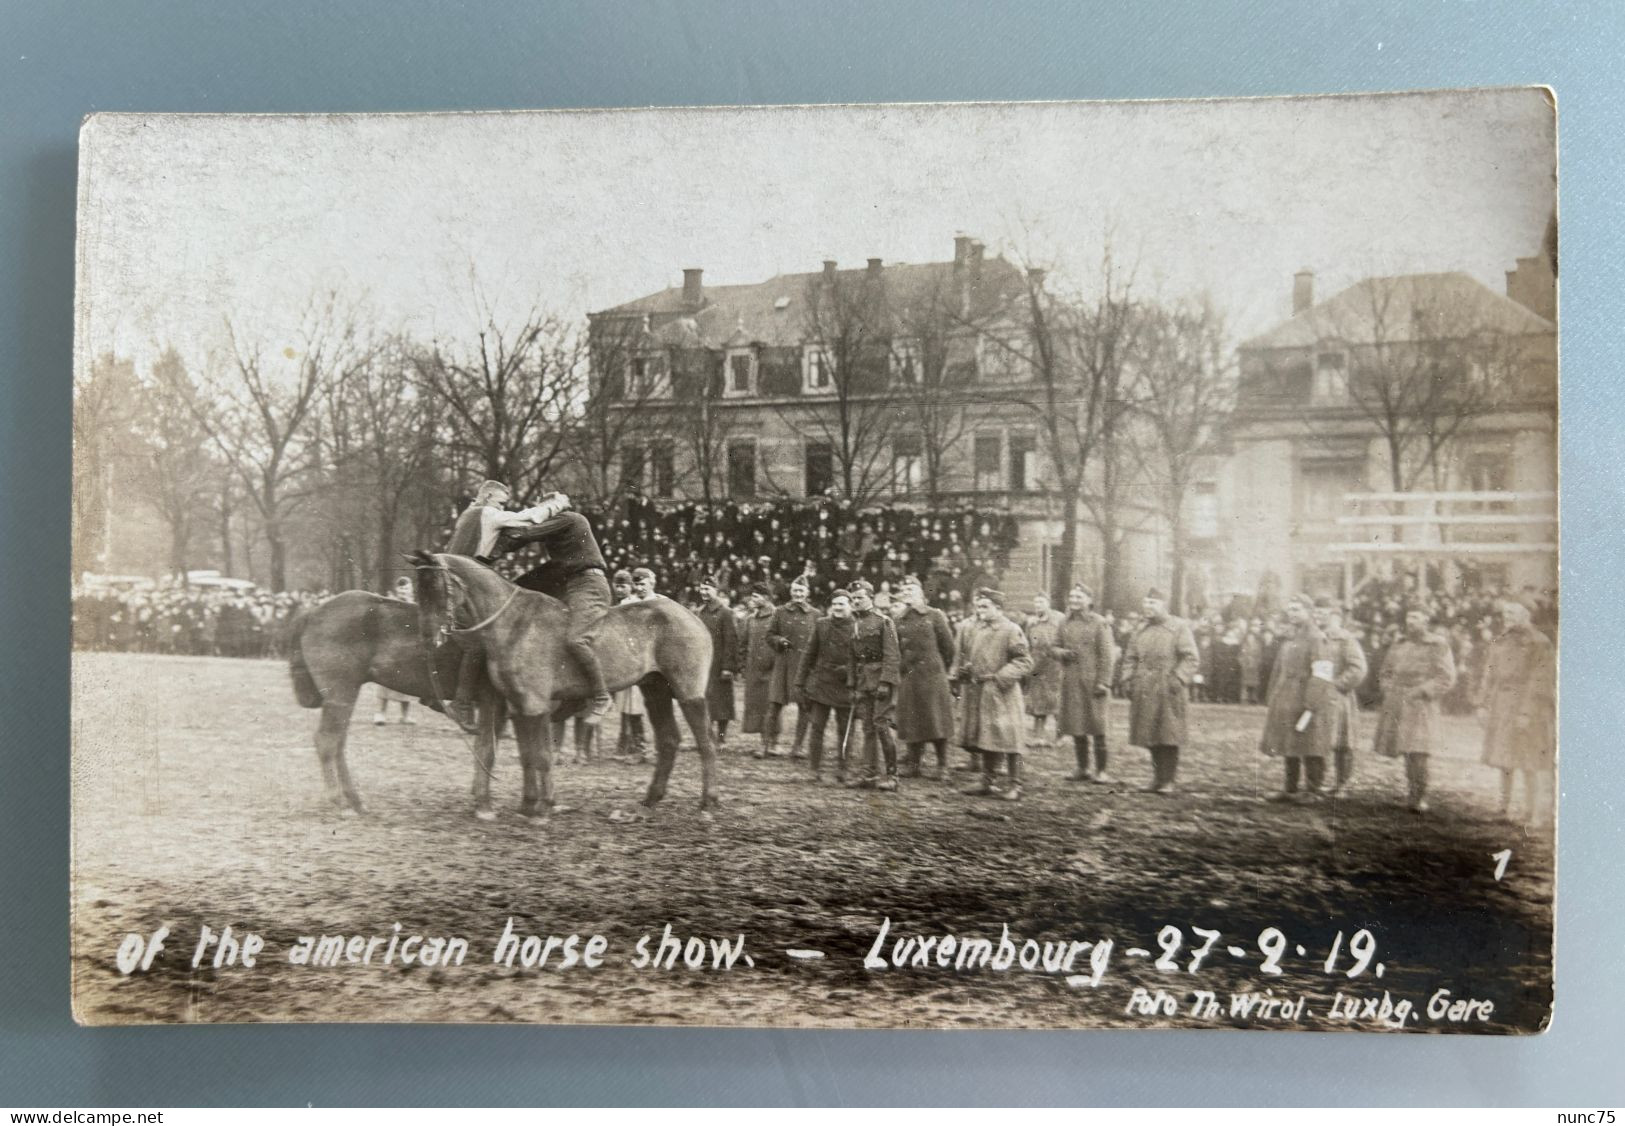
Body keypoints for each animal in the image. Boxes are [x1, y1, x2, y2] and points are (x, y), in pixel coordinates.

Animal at [282, 588, 503, 815]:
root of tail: (312, 612)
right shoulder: (492, 699)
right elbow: (487, 749)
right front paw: (484, 804)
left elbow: (485, 748)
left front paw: (478, 794)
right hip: (341, 694)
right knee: (327, 740)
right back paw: (339, 801)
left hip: (343, 696)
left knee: (338, 743)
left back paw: (354, 800)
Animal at [406, 552, 718, 815]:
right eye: (419, 589)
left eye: (436, 587)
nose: (427, 638)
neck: (513, 623)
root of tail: (692, 616)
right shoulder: (519, 706)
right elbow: (529, 755)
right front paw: (530, 803)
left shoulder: (534, 705)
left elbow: (542, 755)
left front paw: (543, 808)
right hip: (655, 691)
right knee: (669, 740)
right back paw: (652, 798)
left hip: (689, 692)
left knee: (706, 742)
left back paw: (708, 801)